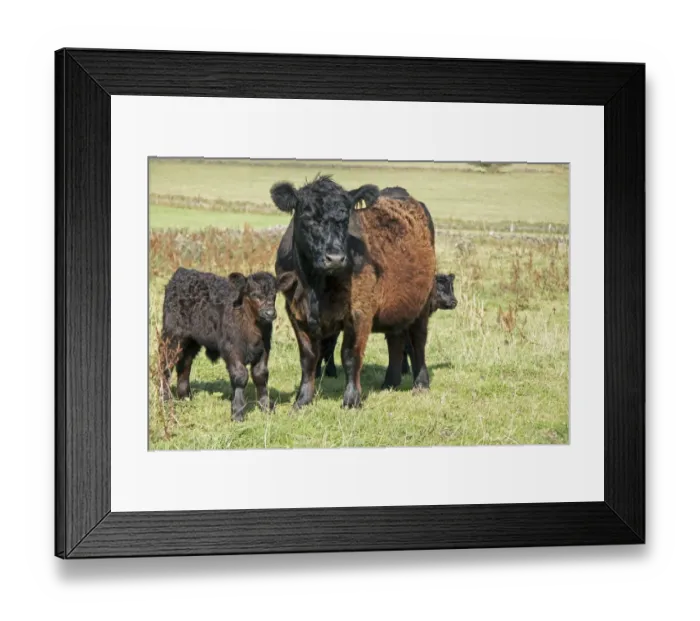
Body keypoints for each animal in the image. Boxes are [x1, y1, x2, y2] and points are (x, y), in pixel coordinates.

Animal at [159, 267, 278, 422]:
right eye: (254, 295)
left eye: (274, 295)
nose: (270, 313)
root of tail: (182, 272)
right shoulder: (231, 348)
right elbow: (240, 376)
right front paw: (237, 412)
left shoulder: (264, 348)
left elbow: (261, 375)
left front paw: (266, 408)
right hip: (172, 335)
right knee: (166, 364)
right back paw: (166, 399)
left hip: (191, 340)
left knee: (185, 363)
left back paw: (185, 397)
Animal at [273, 175, 436, 409]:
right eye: (308, 217)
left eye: (345, 218)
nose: (335, 258)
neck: (315, 286)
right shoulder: (296, 311)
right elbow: (308, 357)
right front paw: (302, 400)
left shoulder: (360, 312)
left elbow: (350, 356)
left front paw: (351, 399)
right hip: (396, 306)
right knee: (395, 340)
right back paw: (390, 382)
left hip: (422, 303)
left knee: (418, 341)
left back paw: (421, 384)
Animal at [316, 272, 458, 379]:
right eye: (440, 288)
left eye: (452, 288)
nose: (454, 302)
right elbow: (407, 348)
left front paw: (404, 370)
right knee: (326, 347)